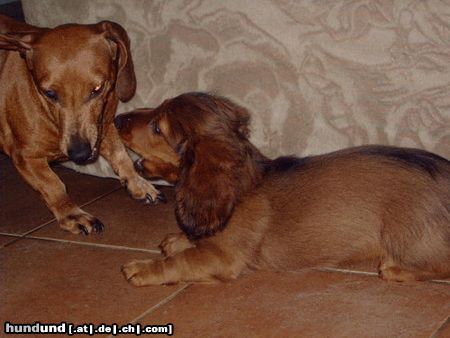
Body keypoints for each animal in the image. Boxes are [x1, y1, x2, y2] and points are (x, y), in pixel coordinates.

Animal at [0, 15, 164, 235]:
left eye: (97, 89)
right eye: (50, 93)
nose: (79, 154)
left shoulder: (103, 125)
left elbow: (121, 156)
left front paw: (138, 183)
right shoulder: (25, 157)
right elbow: (53, 186)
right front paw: (72, 214)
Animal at [117, 91, 450, 284]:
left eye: (158, 128)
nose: (117, 118)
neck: (243, 186)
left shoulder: (223, 258)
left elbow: (182, 262)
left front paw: (145, 268)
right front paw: (179, 239)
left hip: (407, 239)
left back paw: (396, 270)